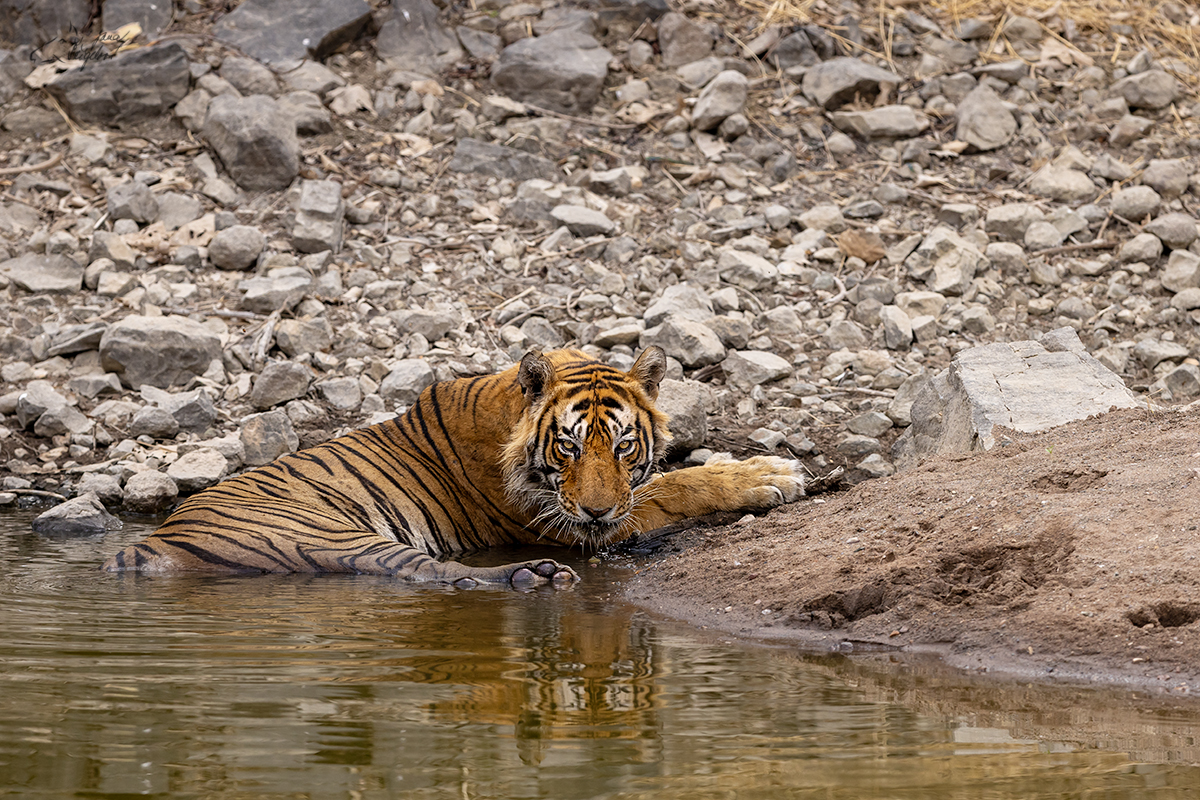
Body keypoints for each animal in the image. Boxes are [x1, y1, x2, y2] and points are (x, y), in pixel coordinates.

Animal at [105, 347, 806, 587]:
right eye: (569, 447)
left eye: (623, 446)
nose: (598, 509)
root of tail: (149, 541)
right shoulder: (561, 521)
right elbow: (673, 488)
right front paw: (770, 474)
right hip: (328, 537)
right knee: (431, 575)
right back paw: (532, 579)